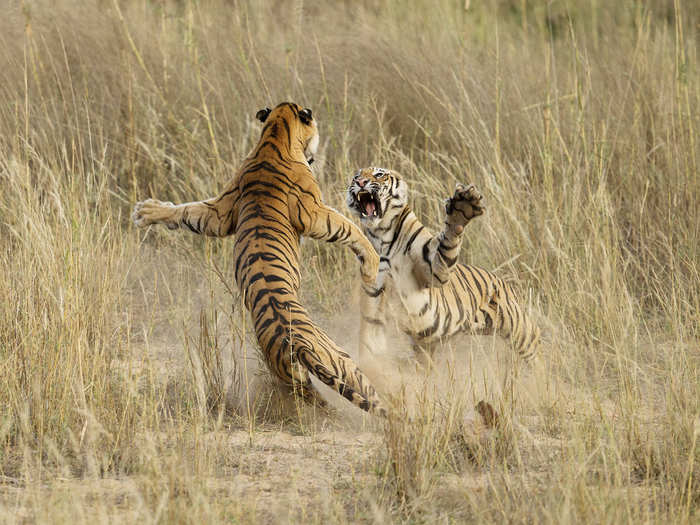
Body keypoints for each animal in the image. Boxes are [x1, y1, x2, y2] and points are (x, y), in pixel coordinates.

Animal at [132, 101, 392, 414]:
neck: (274, 135)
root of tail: (297, 347)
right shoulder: (314, 213)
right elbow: (349, 228)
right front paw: (372, 265)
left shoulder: (220, 212)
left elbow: (188, 212)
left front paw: (147, 211)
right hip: (342, 360)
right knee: (369, 392)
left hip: (299, 379)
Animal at [346, 167, 540, 368]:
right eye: (356, 176)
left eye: (379, 174)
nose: (360, 182)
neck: (382, 234)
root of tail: (505, 283)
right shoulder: (374, 294)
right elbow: (371, 337)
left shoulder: (434, 269)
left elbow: (448, 240)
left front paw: (463, 206)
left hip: (521, 330)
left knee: (536, 348)